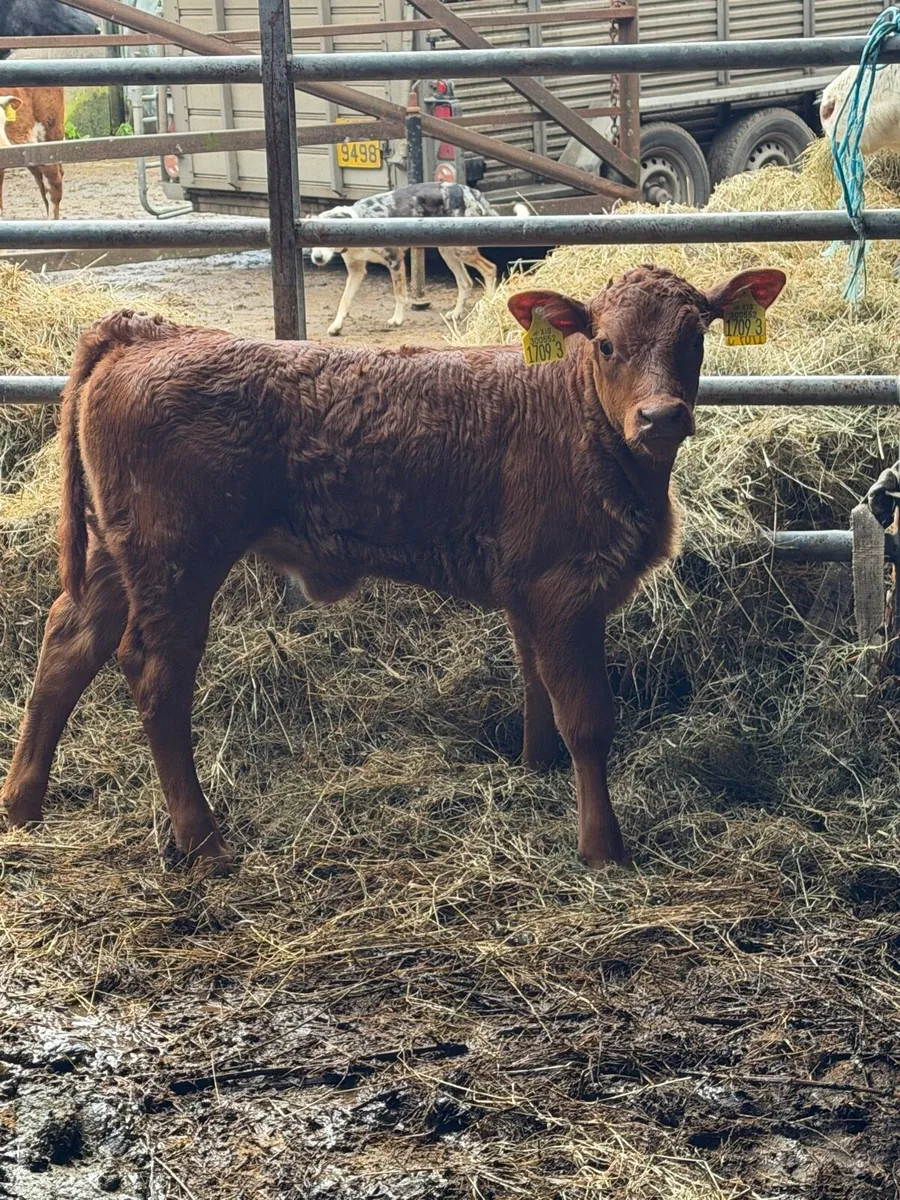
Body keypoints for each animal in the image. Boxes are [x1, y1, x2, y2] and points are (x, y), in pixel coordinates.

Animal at [0, 264, 786, 872]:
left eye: (695, 336)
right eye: (606, 343)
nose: (661, 417)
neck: (580, 416)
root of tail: (154, 328)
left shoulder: (528, 589)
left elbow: (537, 685)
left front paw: (535, 769)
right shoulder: (566, 587)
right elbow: (588, 716)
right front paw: (603, 848)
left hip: (114, 553)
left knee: (68, 644)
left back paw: (23, 804)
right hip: (177, 558)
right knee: (155, 673)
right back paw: (203, 841)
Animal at [308, 182, 530, 336]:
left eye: (326, 236)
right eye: (310, 240)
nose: (317, 258)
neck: (358, 222)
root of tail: (470, 191)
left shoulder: (395, 260)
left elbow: (399, 295)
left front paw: (397, 319)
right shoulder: (356, 271)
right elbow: (344, 301)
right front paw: (336, 325)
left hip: (462, 249)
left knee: (489, 268)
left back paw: (489, 304)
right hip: (447, 251)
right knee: (466, 282)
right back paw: (456, 313)